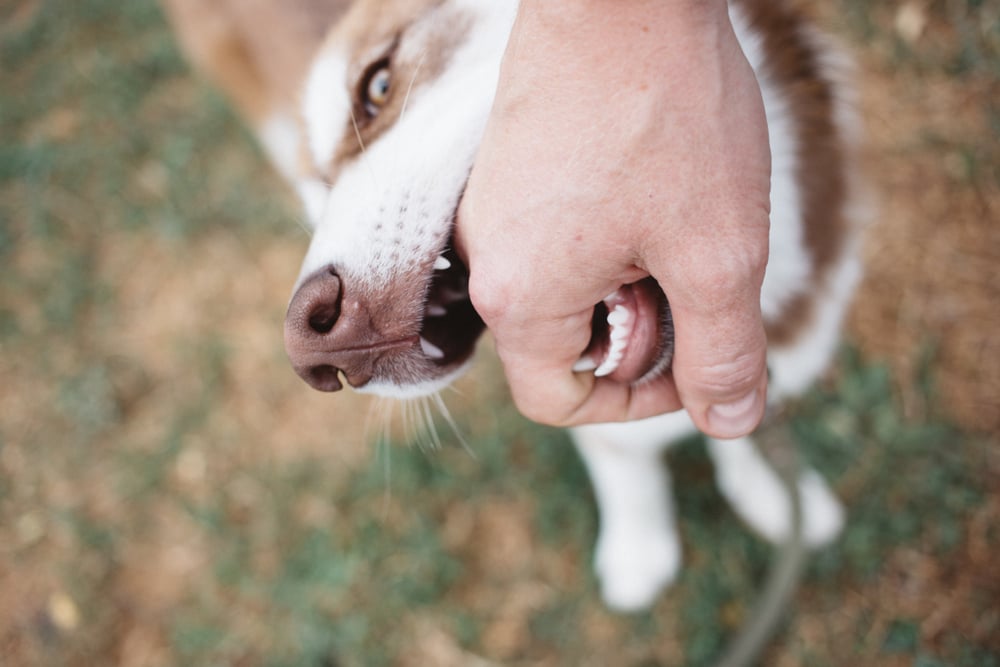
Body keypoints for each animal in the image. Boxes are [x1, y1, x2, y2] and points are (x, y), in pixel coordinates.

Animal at [164, 0, 868, 612]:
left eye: (379, 85)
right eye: (324, 186)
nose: (310, 343)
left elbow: (737, 432)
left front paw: (770, 493)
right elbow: (621, 459)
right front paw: (639, 547)